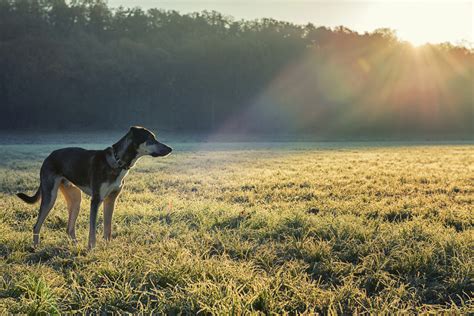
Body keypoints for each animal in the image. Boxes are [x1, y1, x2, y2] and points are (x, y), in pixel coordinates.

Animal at [16, 126, 172, 249]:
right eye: (151, 139)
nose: (170, 149)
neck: (118, 162)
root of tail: (49, 156)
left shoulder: (111, 200)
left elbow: (108, 227)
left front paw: (107, 247)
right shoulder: (96, 200)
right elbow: (93, 229)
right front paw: (92, 248)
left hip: (76, 199)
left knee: (69, 228)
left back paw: (75, 245)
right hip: (50, 197)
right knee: (37, 225)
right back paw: (36, 248)